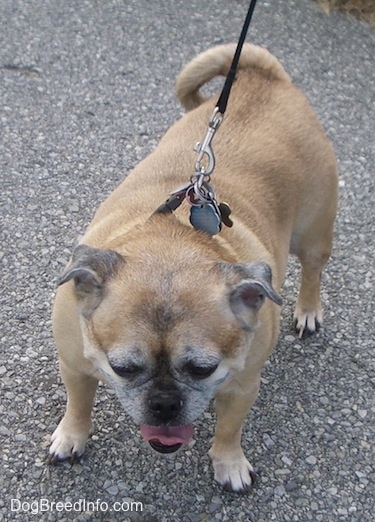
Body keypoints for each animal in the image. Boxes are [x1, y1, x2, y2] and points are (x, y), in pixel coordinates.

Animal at [48, 44, 340, 492]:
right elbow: (78, 403)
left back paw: (308, 310)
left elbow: (229, 429)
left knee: (313, 270)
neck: (171, 244)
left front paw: (230, 463)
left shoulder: (241, 386)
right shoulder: (75, 367)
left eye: (204, 370)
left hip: (312, 234)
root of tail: (266, 78)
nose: (165, 404)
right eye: (122, 368)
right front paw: (71, 436)